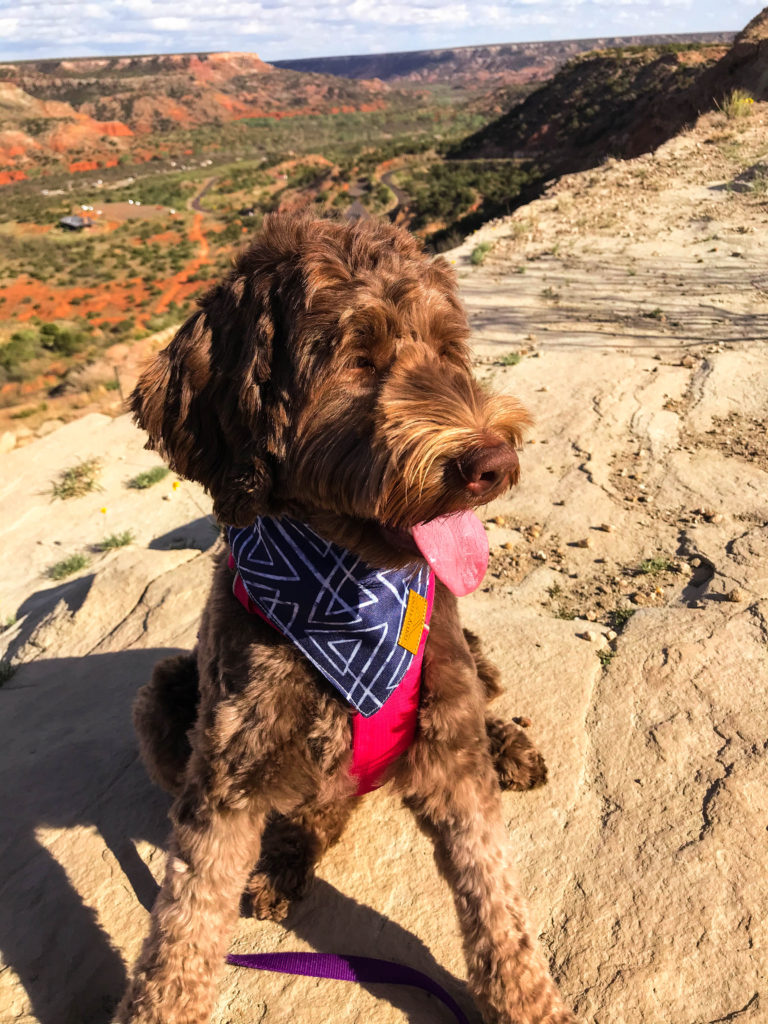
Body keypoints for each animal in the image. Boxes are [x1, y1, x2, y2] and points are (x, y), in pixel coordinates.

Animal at [117, 214, 573, 1024]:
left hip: (465, 667)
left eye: (449, 349)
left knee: (480, 703)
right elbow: (183, 927)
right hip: (163, 702)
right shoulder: (225, 778)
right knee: (313, 803)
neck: (348, 594)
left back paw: (509, 745)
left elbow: (494, 897)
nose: (494, 463)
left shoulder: (451, 750)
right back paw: (290, 855)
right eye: (358, 359)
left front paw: (528, 1001)